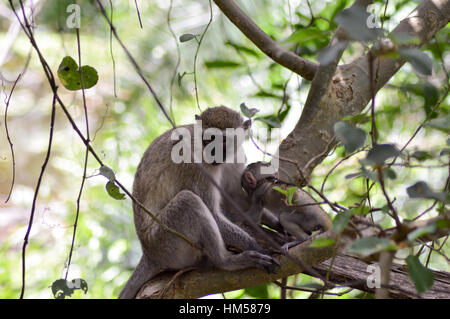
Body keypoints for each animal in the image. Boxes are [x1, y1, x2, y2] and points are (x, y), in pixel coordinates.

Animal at [118, 107, 278, 300]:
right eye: (208, 139)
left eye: (223, 140)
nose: (212, 154)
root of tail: (149, 253)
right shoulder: (195, 164)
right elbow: (213, 212)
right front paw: (254, 245)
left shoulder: (236, 157)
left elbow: (234, 198)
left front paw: (276, 222)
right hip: (164, 241)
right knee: (188, 200)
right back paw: (227, 261)